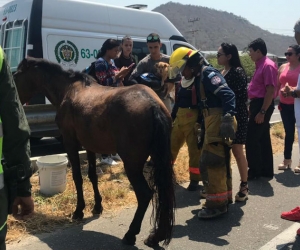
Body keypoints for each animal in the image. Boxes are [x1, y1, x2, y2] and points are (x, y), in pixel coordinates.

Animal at [14, 57, 176, 247]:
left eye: (16, 75)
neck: (69, 89)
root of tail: (153, 105)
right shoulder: (89, 146)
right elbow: (92, 176)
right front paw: (97, 206)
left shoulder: (70, 143)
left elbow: (78, 177)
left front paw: (79, 210)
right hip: (158, 159)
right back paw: (156, 236)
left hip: (132, 164)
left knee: (144, 195)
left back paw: (130, 234)